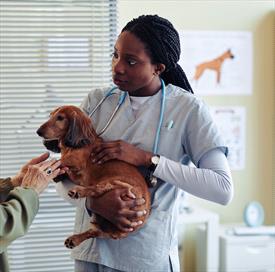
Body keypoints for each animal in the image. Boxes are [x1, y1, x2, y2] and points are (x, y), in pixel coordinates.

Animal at [36, 105, 151, 249]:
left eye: (60, 118)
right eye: (50, 115)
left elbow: (60, 161)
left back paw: (78, 191)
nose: (38, 132)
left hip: (115, 183)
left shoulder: (75, 161)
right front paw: (58, 175)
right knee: (95, 232)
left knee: (98, 189)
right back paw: (75, 239)